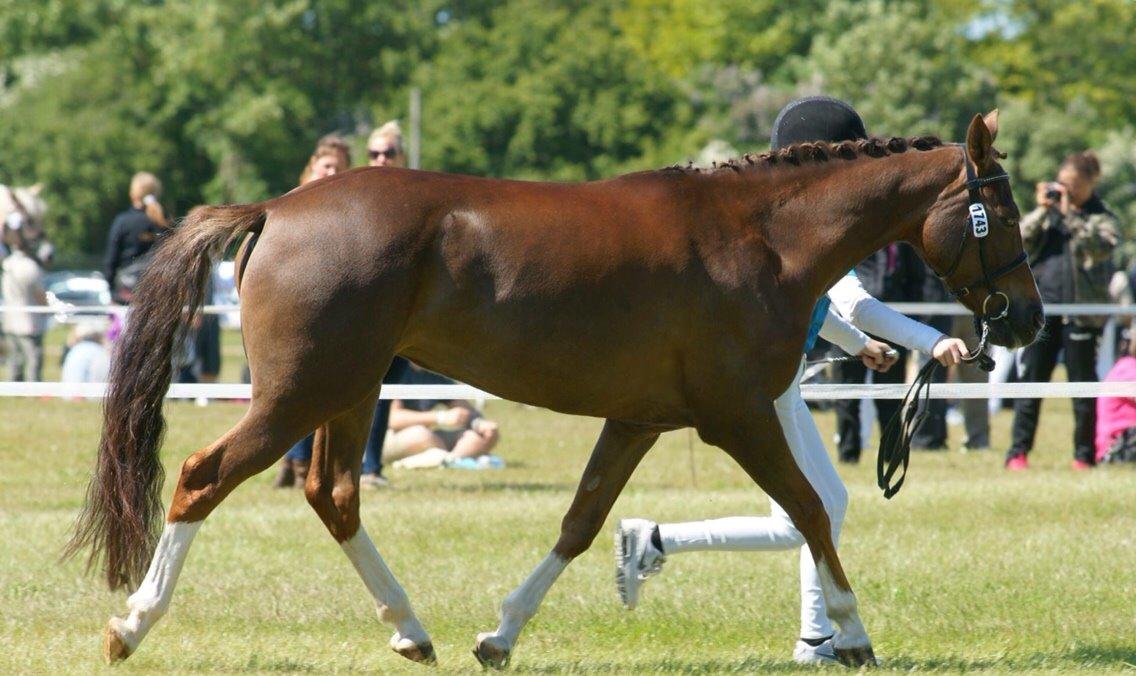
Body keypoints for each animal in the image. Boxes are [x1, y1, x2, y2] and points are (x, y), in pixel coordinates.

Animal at [66, 111, 1036, 668]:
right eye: (1002, 210)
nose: (1024, 320)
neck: (759, 236)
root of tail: (276, 209)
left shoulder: (638, 419)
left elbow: (582, 520)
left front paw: (499, 634)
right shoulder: (736, 417)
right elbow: (807, 511)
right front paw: (855, 632)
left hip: (346, 392)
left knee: (332, 493)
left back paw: (410, 628)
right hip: (298, 395)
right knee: (204, 477)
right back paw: (131, 625)